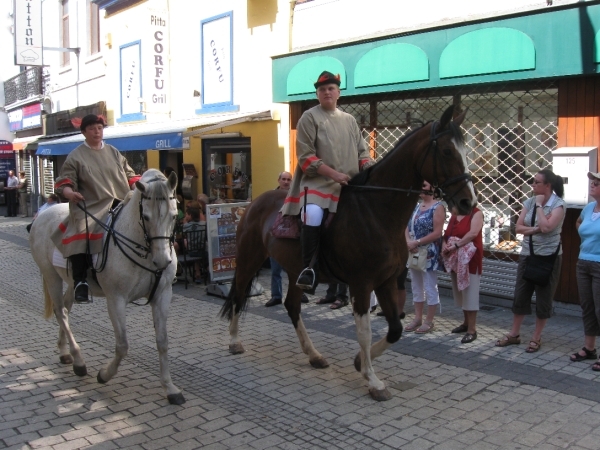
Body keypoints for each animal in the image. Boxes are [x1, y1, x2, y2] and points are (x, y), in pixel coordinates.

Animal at [29, 168, 185, 404]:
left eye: (174, 215)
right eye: (146, 217)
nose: (162, 261)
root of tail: (42, 216)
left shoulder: (162, 295)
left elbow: (163, 341)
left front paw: (170, 388)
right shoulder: (116, 299)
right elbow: (122, 345)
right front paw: (104, 375)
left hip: (70, 281)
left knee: (65, 307)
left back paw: (65, 352)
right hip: (51, 276)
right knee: (61, 312)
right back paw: (78, 361)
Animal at [219, 105, 474, 400]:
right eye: (447, 151)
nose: (468, 202)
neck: (375, 211)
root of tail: (253, 203)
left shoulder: (386, 281)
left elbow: (395, 329)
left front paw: (360, 362)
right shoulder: (362, 284)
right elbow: (364, 332)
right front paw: (372, 379)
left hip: (295, 271)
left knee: (292, 306)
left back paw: (314, 355)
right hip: (249, 260)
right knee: (239, 294)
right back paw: (234, 341)